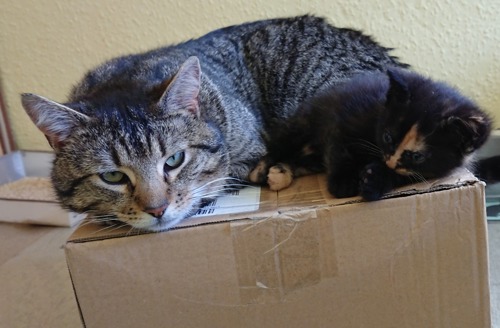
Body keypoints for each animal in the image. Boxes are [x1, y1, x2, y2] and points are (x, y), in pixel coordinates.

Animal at [250, 67, 492, 199]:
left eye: (417, 156)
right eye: (387, 137)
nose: (390, 161)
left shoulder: (431, 170)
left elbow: (406, 174)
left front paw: (374, 180)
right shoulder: (347, 114)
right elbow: (340, 147)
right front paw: (344, 182)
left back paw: (281, 172)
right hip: (302, 123)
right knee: (281, 145)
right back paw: (262, 170)